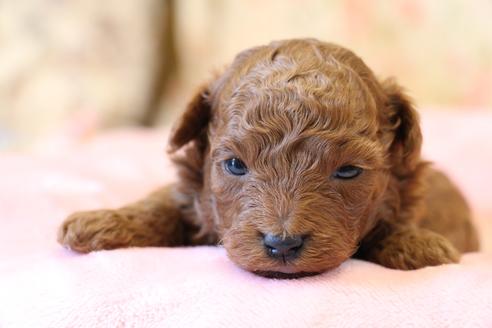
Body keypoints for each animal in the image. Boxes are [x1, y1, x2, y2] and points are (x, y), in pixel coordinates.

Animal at [56, 39, 476, 278]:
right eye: (235, 165)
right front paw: (99, 223)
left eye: (348, 171)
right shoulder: (193, 192)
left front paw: (417, 244)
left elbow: (390, 224)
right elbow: (162, 204)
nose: (283, 245)